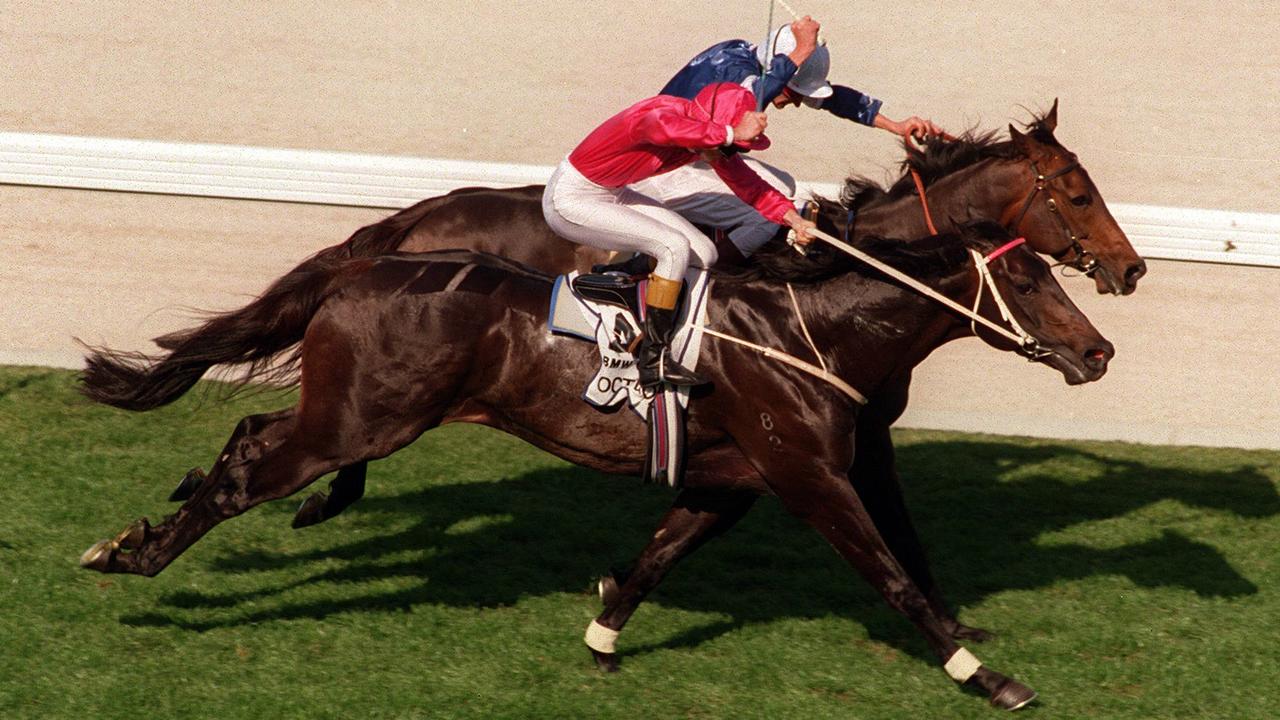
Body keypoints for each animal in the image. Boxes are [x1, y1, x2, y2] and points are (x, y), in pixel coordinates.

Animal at [80, 222, 1111, 707]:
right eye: (1029, 280)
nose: (1098, 352)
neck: (812, 331)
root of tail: (360, 267)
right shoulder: (812, 477)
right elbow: (894, 576)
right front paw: (986, 673)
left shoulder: (734, 482)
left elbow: (658, 553)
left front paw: (604, 633)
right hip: (359, 423)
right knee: (248, 469)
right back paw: (131, 553)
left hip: (351, 417)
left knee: (252, 433)